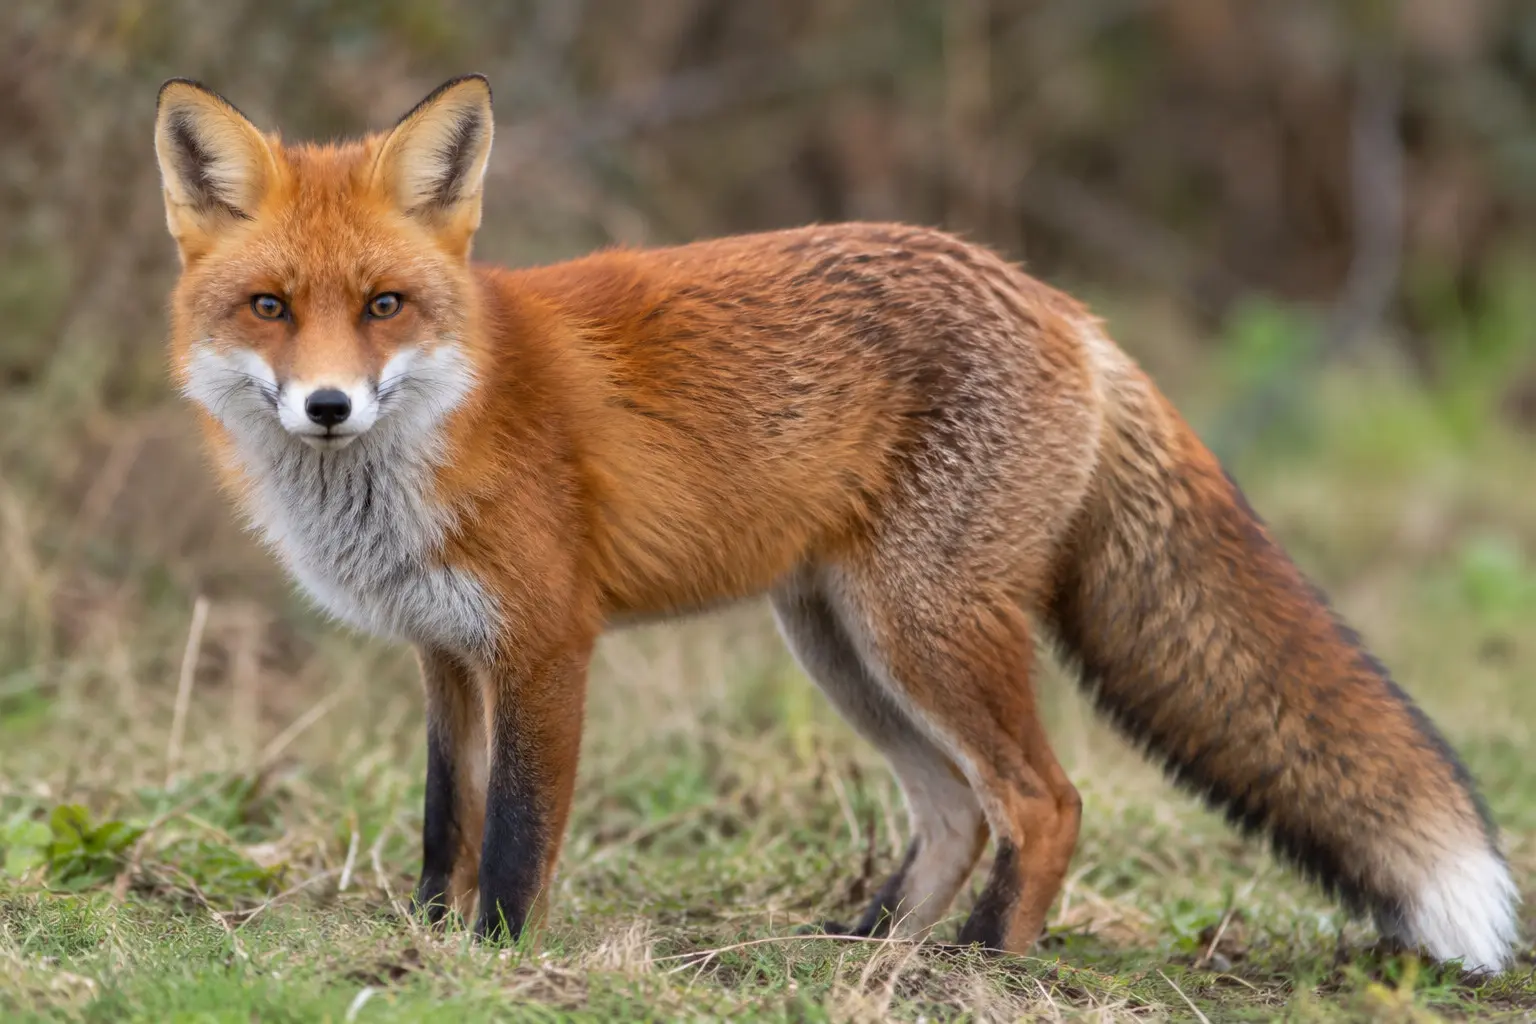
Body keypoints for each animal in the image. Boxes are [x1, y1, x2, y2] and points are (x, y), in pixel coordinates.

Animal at [153, 73, 1519, 972]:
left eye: (385, 304)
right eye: (270, 306)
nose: (328, 406)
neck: (445, 425)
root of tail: (1066, 308)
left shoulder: (546, 643)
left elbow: (520, 834)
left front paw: (493, 960)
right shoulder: (447, 653)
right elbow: (449, 821)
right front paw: (430, 944)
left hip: (923, 630)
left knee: (1045, 800)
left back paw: (983, 965)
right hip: (842, 641)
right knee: (958, 809)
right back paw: (865, 952)